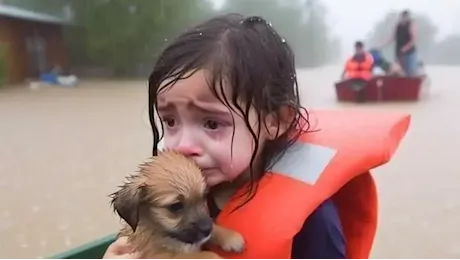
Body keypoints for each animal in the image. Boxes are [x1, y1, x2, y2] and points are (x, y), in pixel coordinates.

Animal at [110, 150, 244, 260]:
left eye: (203, 197)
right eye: (176, 206)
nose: (207, 229)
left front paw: (230, 237)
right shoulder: (160, 256)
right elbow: (198, 256)